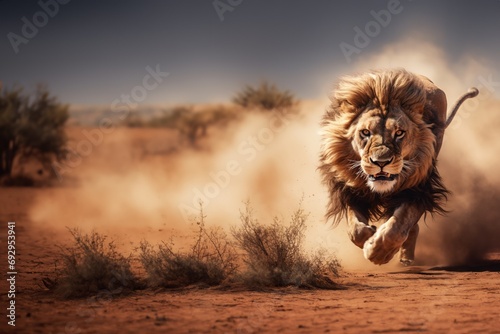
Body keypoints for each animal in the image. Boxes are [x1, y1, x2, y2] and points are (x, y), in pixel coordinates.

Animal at [318, 69, 478, 264]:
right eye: (365, 132)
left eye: (399, 133)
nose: (381, 162)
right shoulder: (348, 189)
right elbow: (356, 230)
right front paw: (370, 236)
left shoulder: (419, 189)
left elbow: (396, 227)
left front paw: (378, 252)